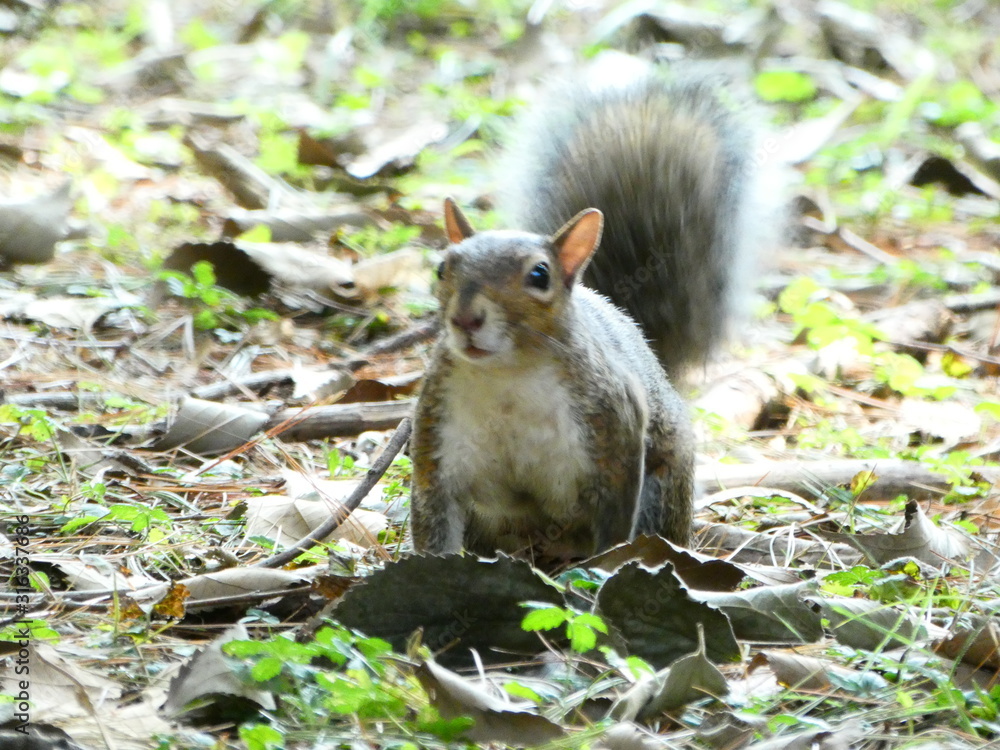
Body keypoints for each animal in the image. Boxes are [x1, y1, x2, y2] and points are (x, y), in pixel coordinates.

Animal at [409, 64, 780, 559]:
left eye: (540, 275)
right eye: (441, 268)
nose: (466, 319)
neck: (508, 379)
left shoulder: (614, 430)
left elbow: (614, 519)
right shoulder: (438, 439)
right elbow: (433, 520)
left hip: (661, 491)